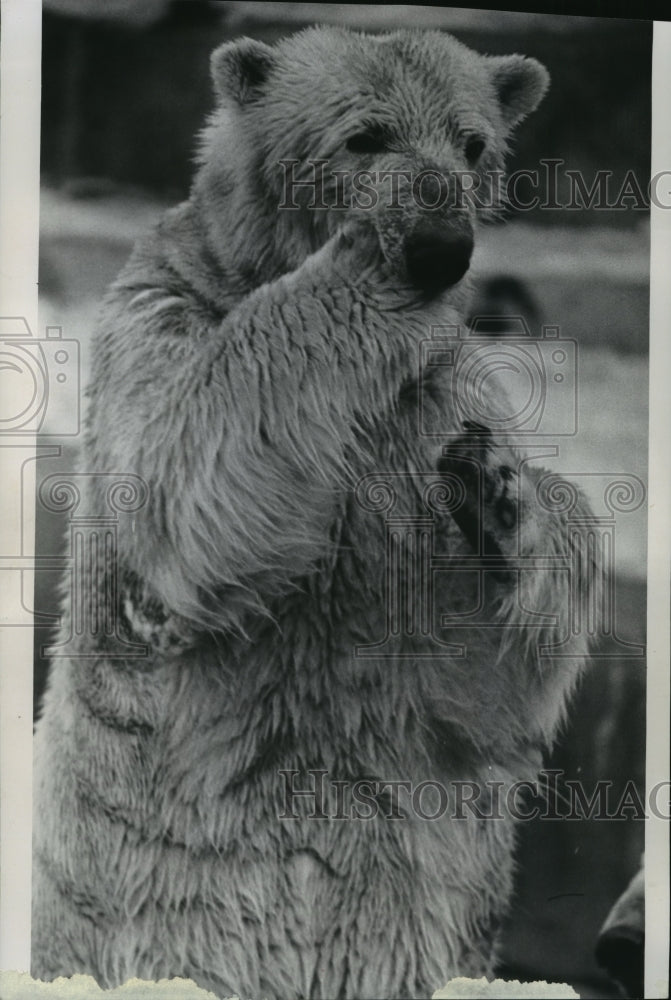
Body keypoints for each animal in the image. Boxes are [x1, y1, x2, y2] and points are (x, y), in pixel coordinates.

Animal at [32, 26, 599, 1000]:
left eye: (473, 144)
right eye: (365, 135)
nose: (441, 240)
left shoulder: (433, 403)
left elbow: (481, 686)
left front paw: (497, 492)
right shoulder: (159, 314)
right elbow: (175, 485)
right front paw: (371, 263)